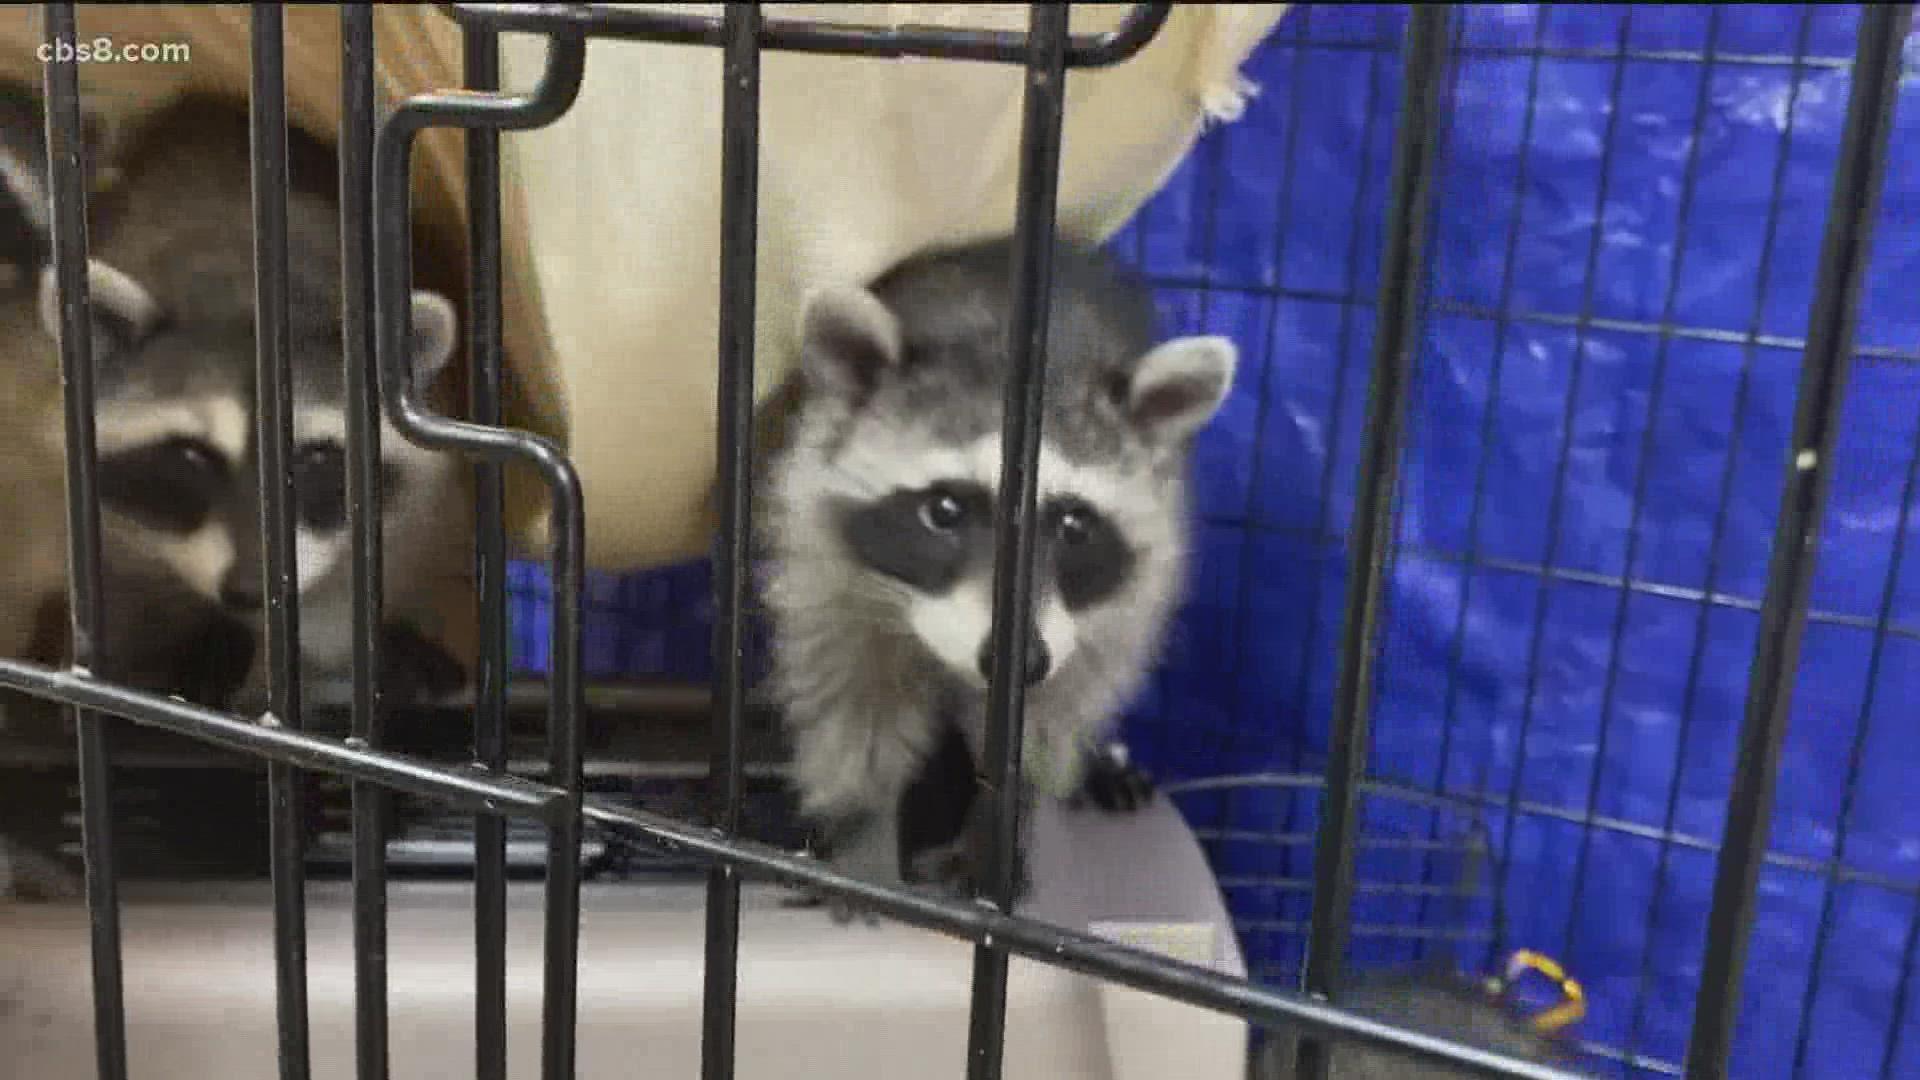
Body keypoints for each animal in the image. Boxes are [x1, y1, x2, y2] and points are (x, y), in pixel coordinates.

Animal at [760, 235, 1236, 906]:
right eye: (944, 511)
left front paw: (999, 835)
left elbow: (1035, 736)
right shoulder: (823, 565)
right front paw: (864, 844)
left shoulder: (1105, 614)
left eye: (1074, 525)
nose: (1022, 659)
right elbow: (857, 717)